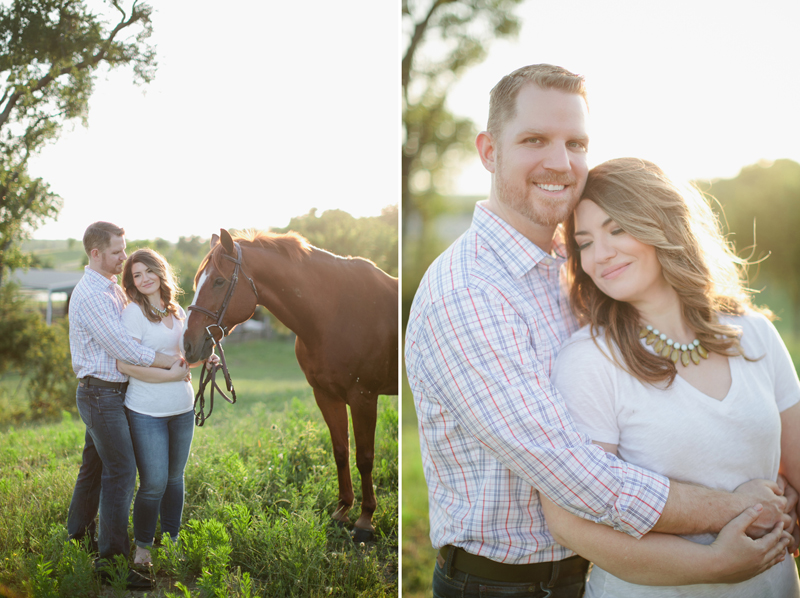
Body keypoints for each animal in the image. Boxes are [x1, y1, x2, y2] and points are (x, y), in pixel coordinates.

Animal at [180, 227, 396, 540]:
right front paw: (342, 510)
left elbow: (365, 457)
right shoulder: (326, 395)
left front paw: (365, 520)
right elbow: (341, 451)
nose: (187, 345)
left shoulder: (363, 397)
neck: (335, 313)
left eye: (219, 281)